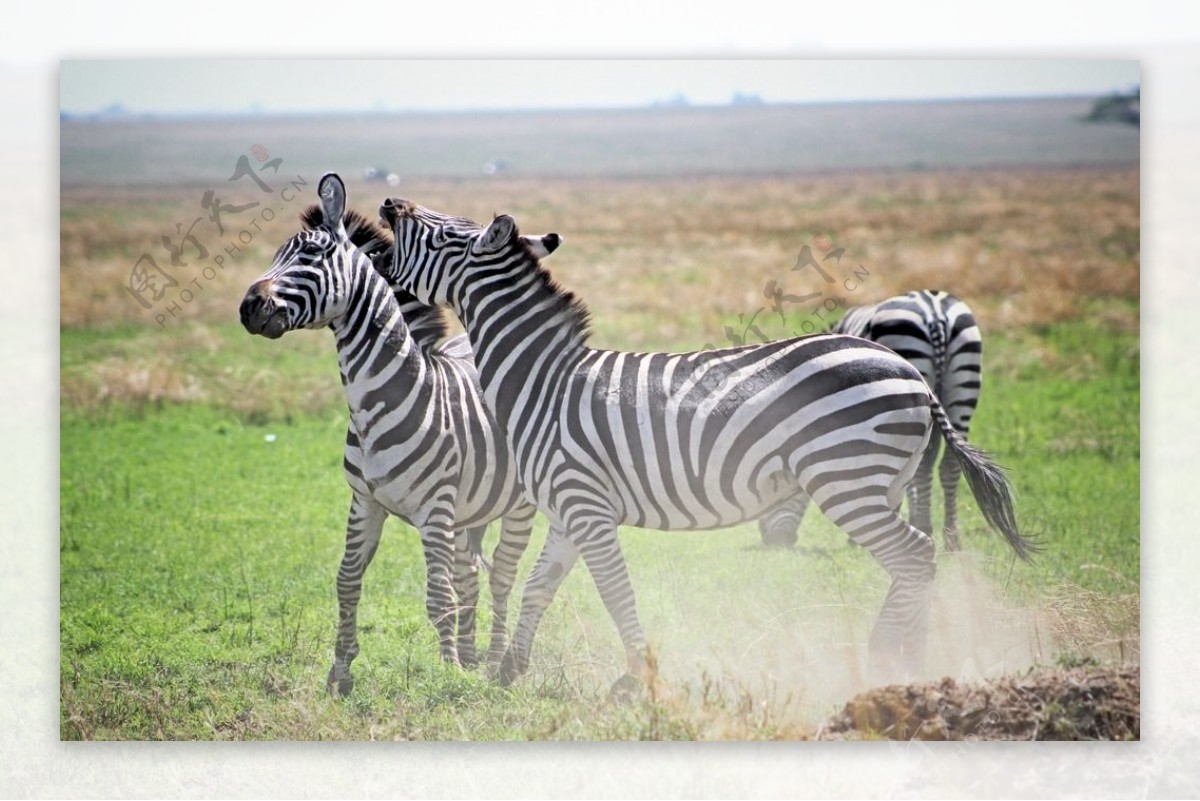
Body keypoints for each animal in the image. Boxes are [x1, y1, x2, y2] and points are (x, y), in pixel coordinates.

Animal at [242, 173, 561, 695]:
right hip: (468, 512)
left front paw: (449, 672)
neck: (377, 402)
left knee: (500, 576)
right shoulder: (365, 501)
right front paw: (340, 672)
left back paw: (493, 659)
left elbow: (437, 595)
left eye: (312, 255)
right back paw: (472, 653)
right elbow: (347, 581)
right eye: (276, 254)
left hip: (516, 506)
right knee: (469, 575)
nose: (248, 307)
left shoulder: (435, 510)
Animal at [758, 291, 984, 553]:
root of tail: (934, 311)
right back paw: (951, 537)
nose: (772, 540)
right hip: (962, 386)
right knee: (949, 463)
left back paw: (925, 527)